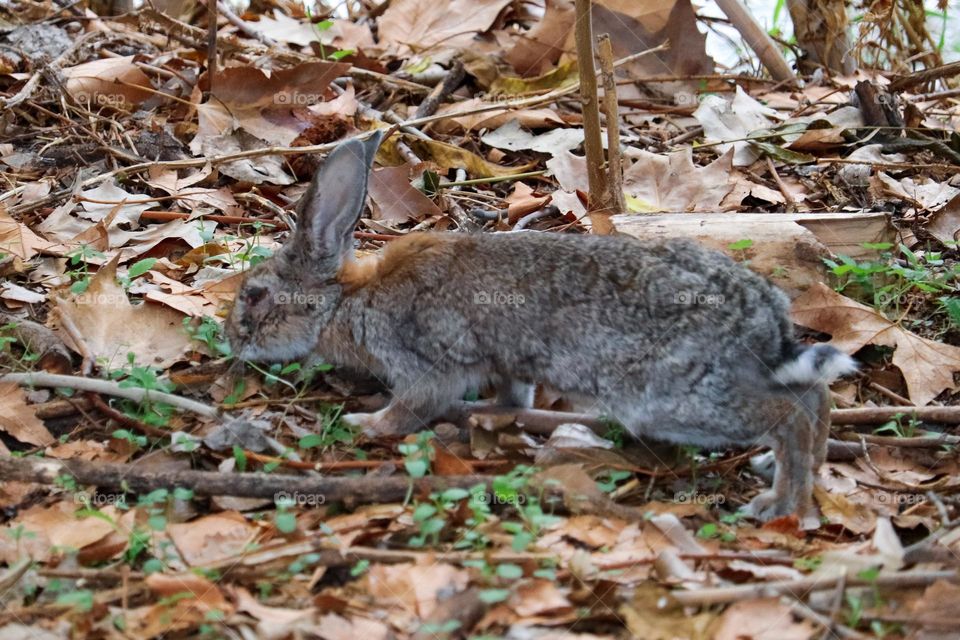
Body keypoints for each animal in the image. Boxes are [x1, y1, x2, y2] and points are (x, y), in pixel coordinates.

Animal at [225, 131, 857, 523]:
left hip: (671, 400)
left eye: (255, 296)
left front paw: (368, 423)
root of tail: (764, 321)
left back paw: (781, 505)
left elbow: (413, 405)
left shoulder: (423, 362)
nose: (233, 341)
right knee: (815, 395)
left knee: (787, 413)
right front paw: (495, 415)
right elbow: (513, 393)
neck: (347, 297)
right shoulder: (505, 366)